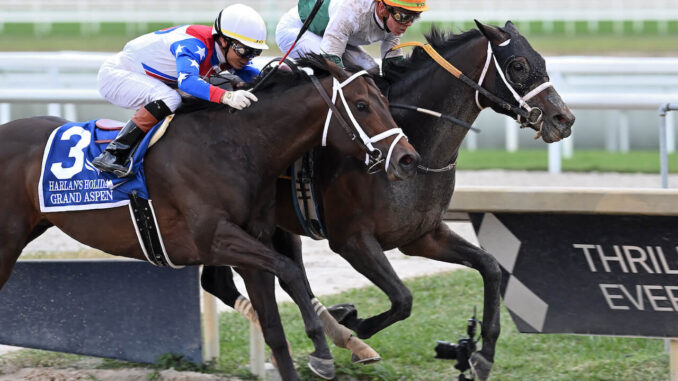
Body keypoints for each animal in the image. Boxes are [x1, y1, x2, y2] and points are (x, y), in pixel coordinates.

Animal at [0, 56, 422, 380]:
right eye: (362, 105)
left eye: (384, 100)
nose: (407, 158)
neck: (234, 146)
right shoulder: (214, 238)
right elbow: (289, 270)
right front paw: (322, 350)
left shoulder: (252, 246)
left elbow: (275, 327)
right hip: (7, 241)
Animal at [205, 21, 576, 380]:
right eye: (518, 65)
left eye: (542, 61)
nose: (564, 119)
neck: (416, 144)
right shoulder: (351, 239)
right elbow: (402, 298)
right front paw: (355, 322)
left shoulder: (421, 235)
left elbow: (490, 267)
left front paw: (483, 356)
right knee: (238, 279)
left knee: (230, 280)